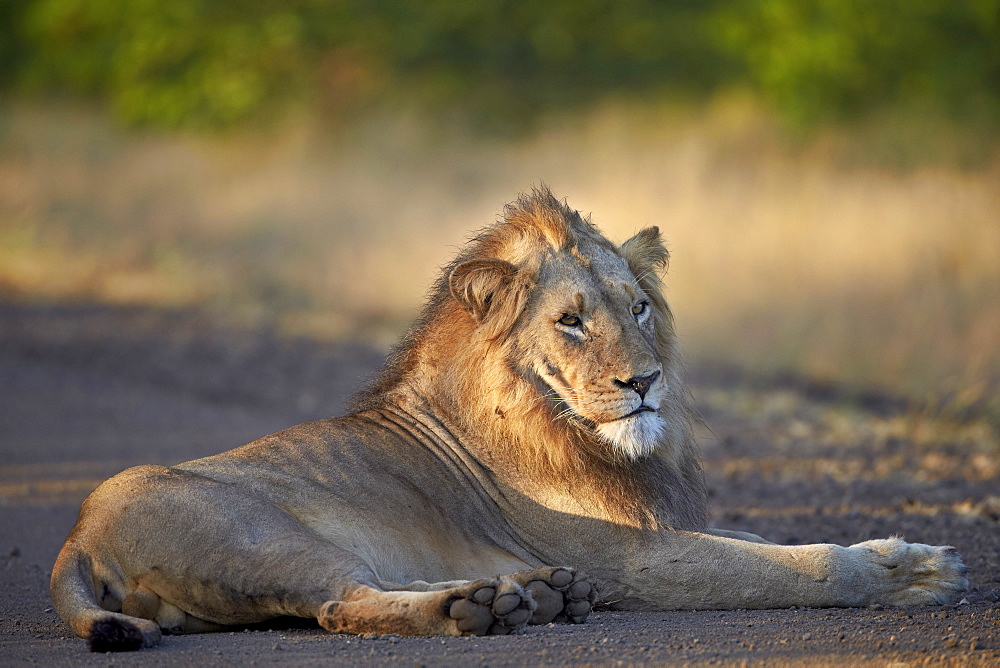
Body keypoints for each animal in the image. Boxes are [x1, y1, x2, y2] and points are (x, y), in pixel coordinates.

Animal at [50, 188, 964, 652]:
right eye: (571, 322)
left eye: (638, 307)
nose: (644, 382)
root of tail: (78, 533)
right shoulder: (631, 559)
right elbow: (789, 566)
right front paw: (916, 572)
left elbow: (765, 544)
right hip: (265, 538)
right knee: (341, 604)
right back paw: (483, 609)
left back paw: (525, 595)